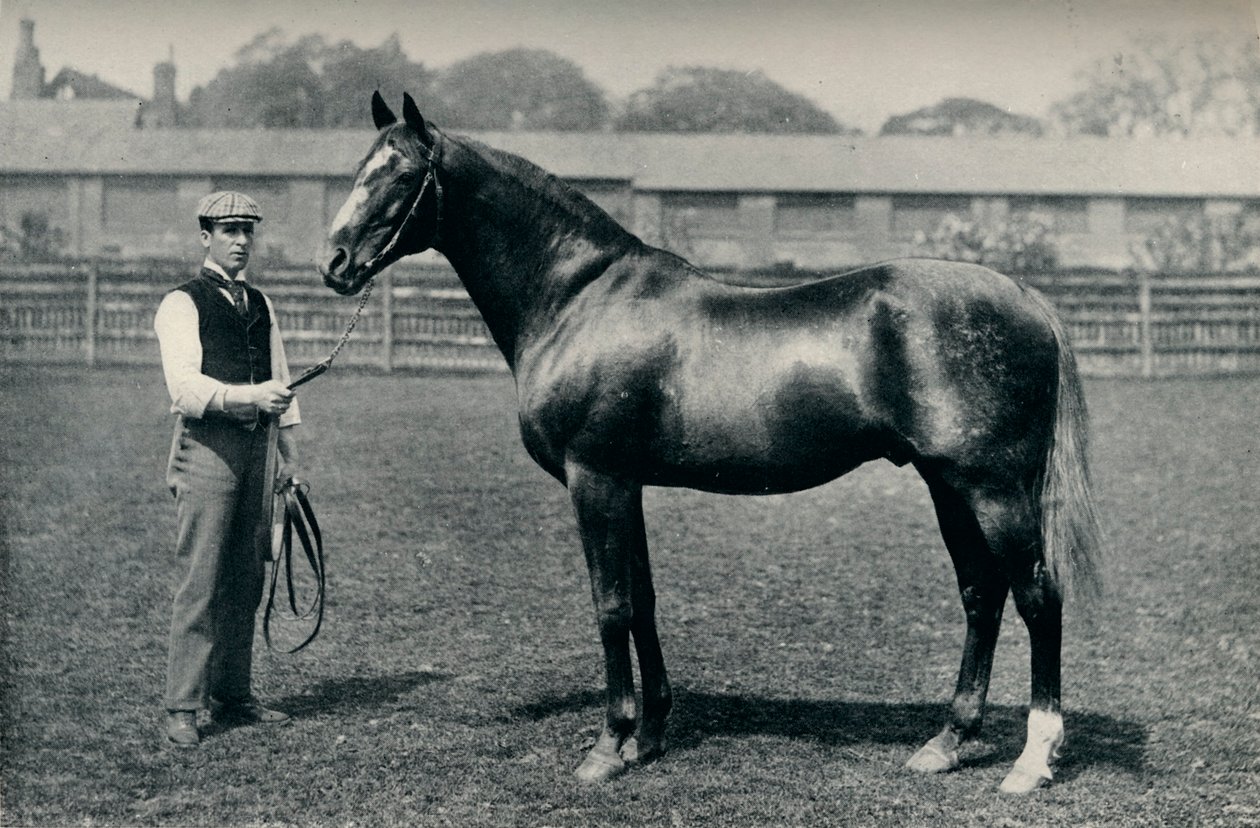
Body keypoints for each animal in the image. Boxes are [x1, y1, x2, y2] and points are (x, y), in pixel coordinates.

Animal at [317, 92, 1103, 796]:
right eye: (358, 167)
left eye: (399, 175)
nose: (335, 263)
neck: (578, 299)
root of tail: (1027, 298)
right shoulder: (625, 481)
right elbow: (642, 598)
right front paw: (649, 735)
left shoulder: (595, 478)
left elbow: (610, 604)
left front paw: (607, 747)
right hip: (948, 486)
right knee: (982, 594)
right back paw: (945, 743)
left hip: (991, 488)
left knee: (1037, 596)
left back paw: (1031, 761)